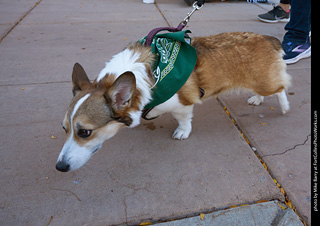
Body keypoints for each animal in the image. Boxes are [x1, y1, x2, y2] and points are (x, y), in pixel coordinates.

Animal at [56, 31, 292, 172]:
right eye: (65, 128)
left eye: (85, 132)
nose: (60, 167)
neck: (150, 76)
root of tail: (269, 38)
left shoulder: (182, 105)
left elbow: (184, 120)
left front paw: (182, 132)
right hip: (257, 81)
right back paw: (257, 99)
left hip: (265, 82)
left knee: (281, 87)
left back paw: (284, 107)